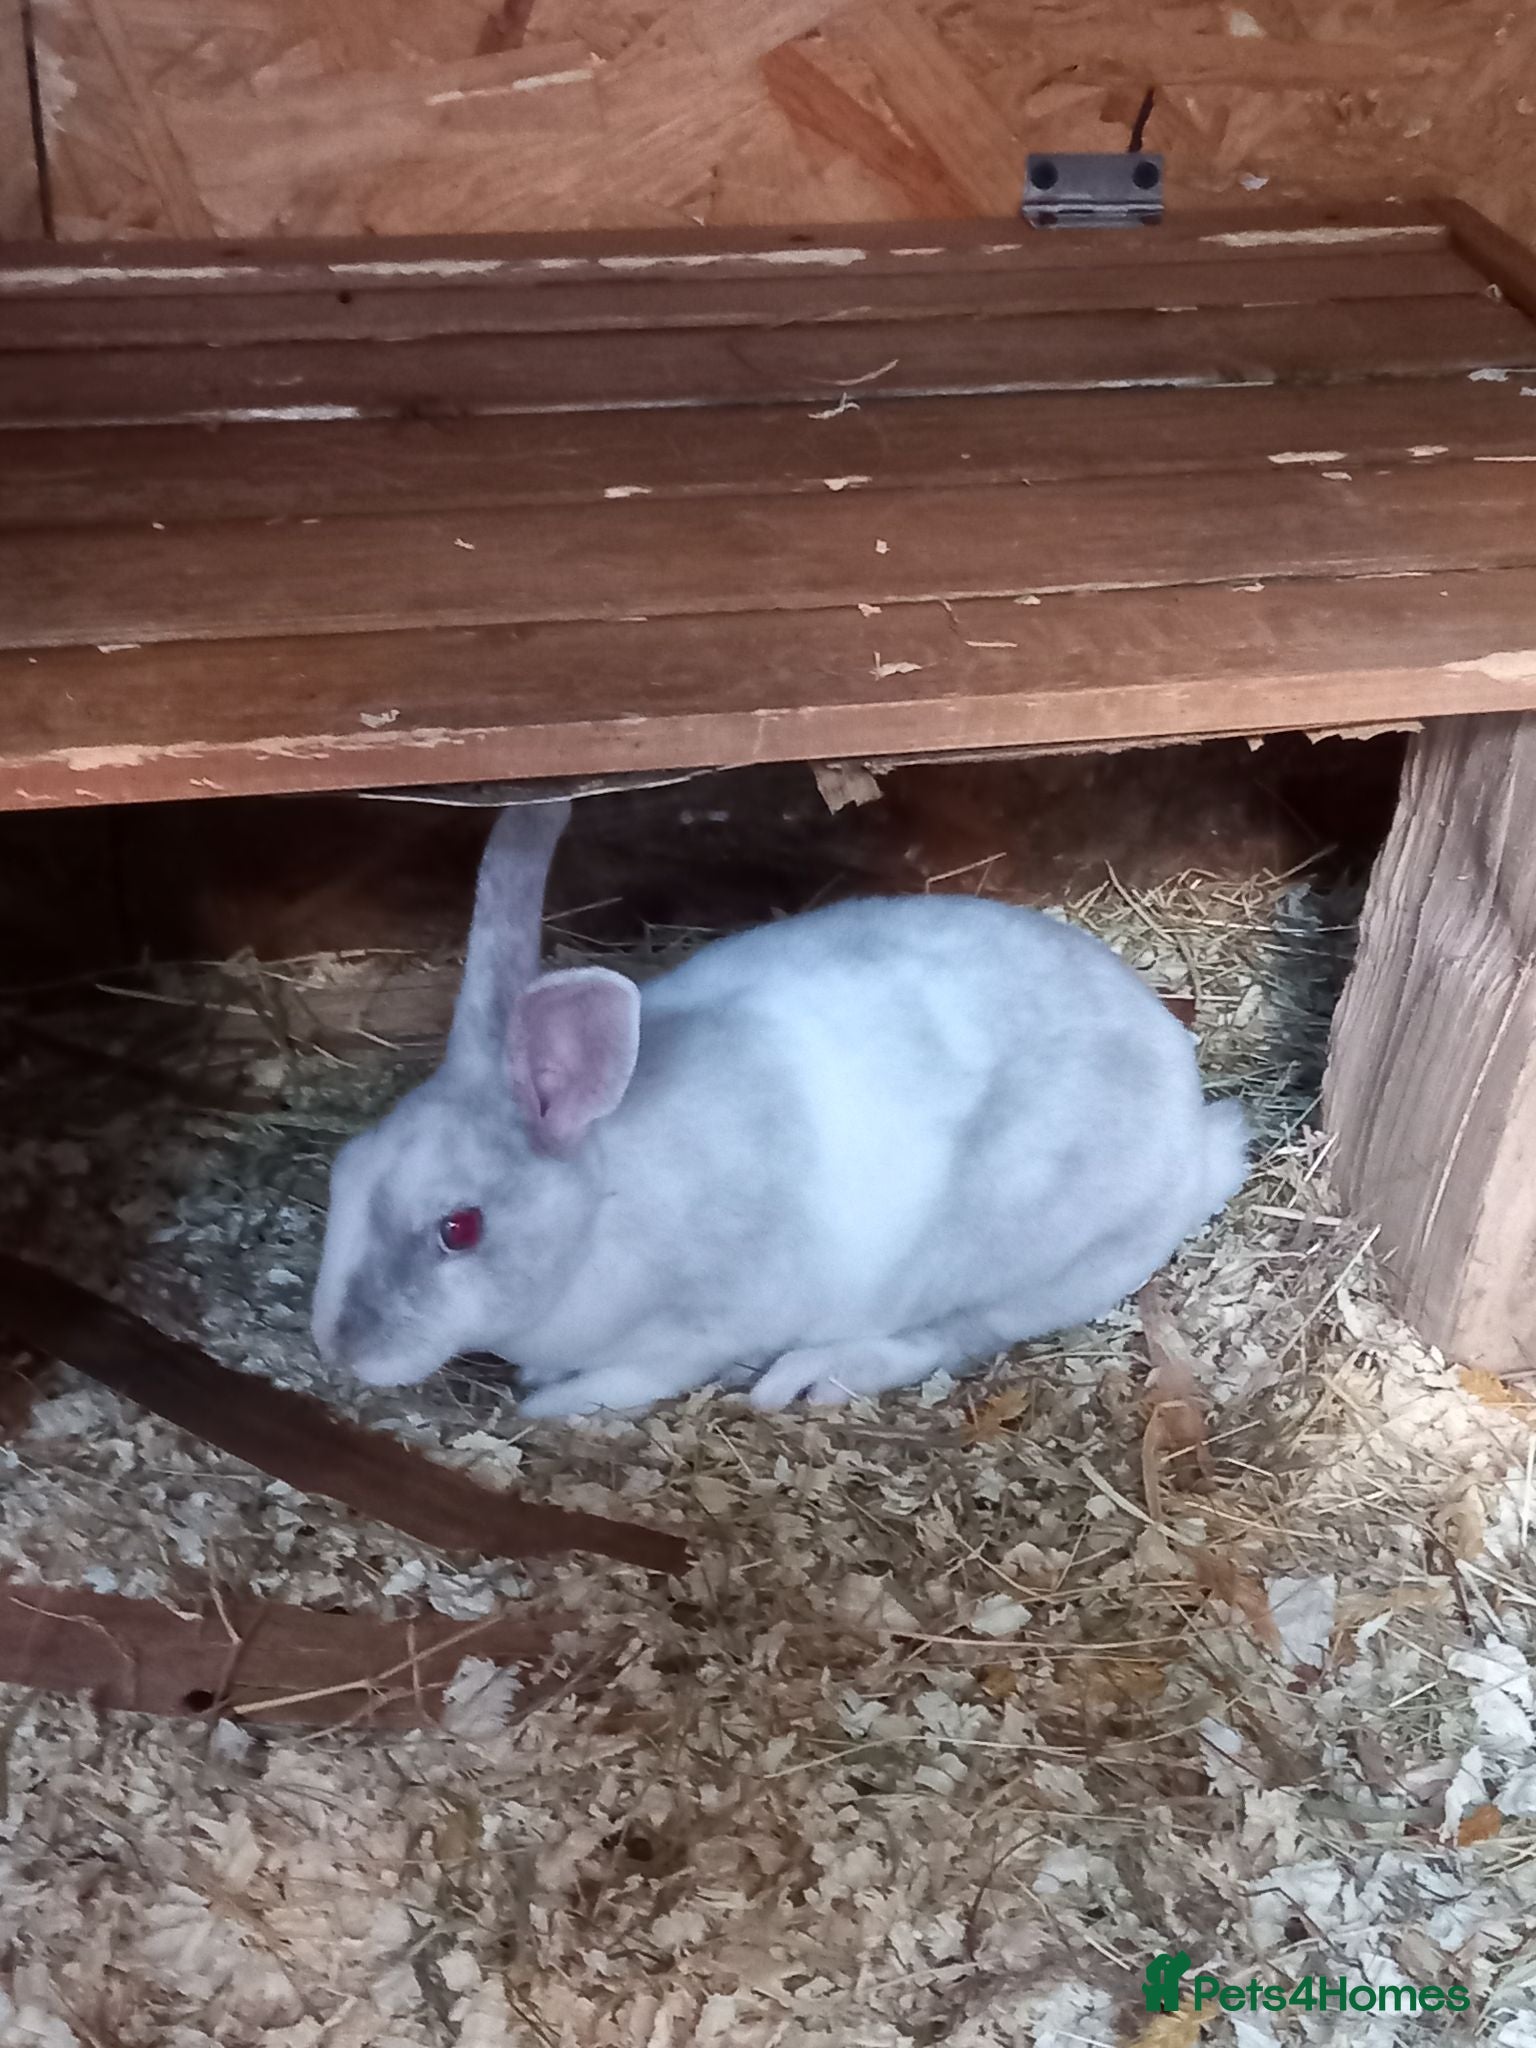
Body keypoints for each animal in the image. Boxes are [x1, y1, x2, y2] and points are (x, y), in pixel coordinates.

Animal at [311, 797, 1248, 1418]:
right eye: (344, 1171)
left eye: (459, 1227)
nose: (339, 1348)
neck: (603, 1203)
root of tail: (1194, 1138)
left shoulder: (697, 1329)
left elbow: (636, 1378)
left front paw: (550, 1404)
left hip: (1009, 1256)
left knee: (948, 1334)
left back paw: (811, 1376)